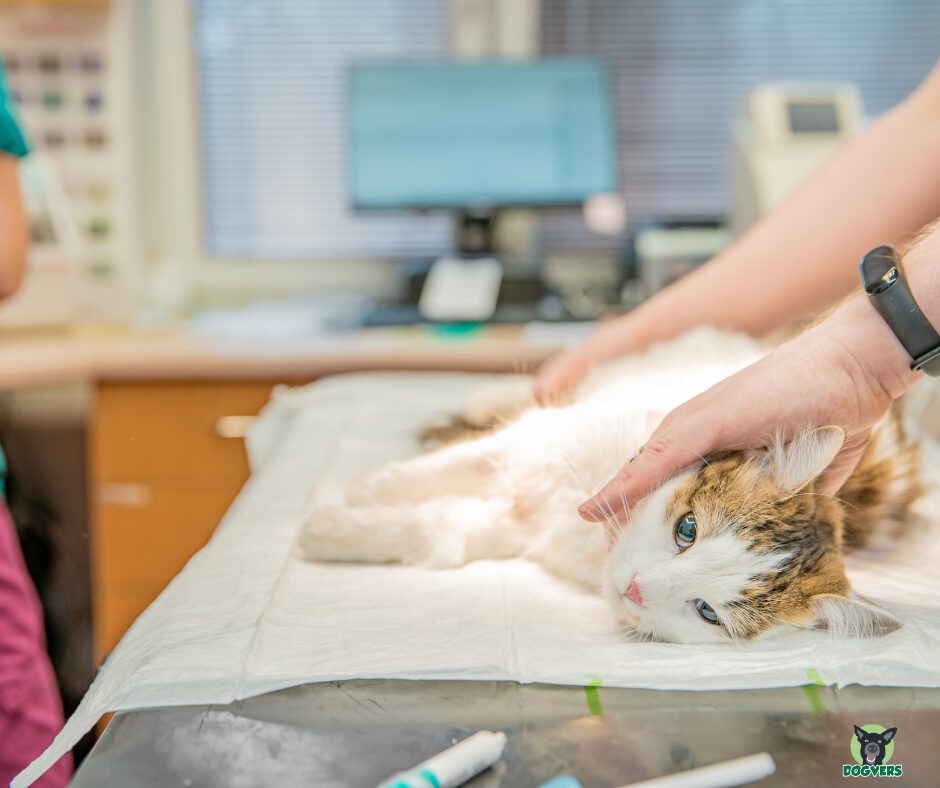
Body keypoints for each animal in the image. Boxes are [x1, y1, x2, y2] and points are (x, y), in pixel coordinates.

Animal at [298, 330, 920, 644]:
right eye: (688, 529)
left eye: (708, 613)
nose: (638, 590)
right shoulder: (535, 443)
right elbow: (447, 468)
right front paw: (367, 488)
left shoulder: (508, 525)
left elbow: (431, 530)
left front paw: (330, 529)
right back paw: (490, 393)